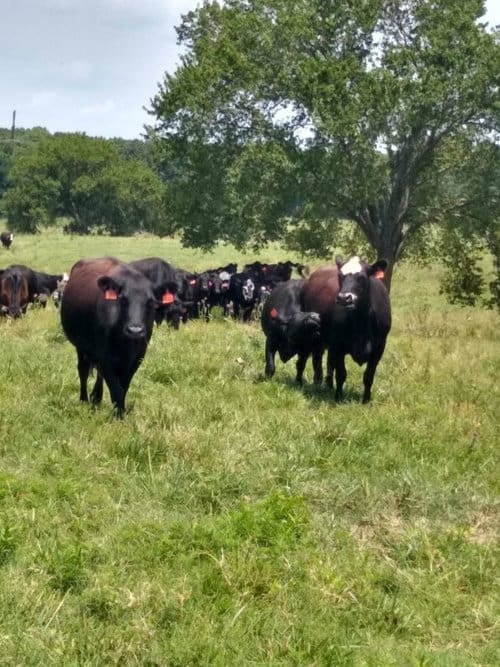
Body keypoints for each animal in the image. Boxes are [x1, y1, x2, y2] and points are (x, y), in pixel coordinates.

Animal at [60, 257, 171, 417]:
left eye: (151, 302)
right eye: (123, 299)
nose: (135, 330)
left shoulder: (137, 357)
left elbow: (123, 386)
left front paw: (120, 411)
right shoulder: (105, 357)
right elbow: (115, 387)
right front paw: (119, 416)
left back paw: (96, 398)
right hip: (81, 347)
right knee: (83, 370)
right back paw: (84, 400)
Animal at [323, 256, 391, 403]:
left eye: (362, 277)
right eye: (340, 275)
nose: (344, 298)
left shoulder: (379, 347)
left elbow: (368, 376)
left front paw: (366, 400)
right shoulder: (338, 344)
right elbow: (341, 374)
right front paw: (338, 397)